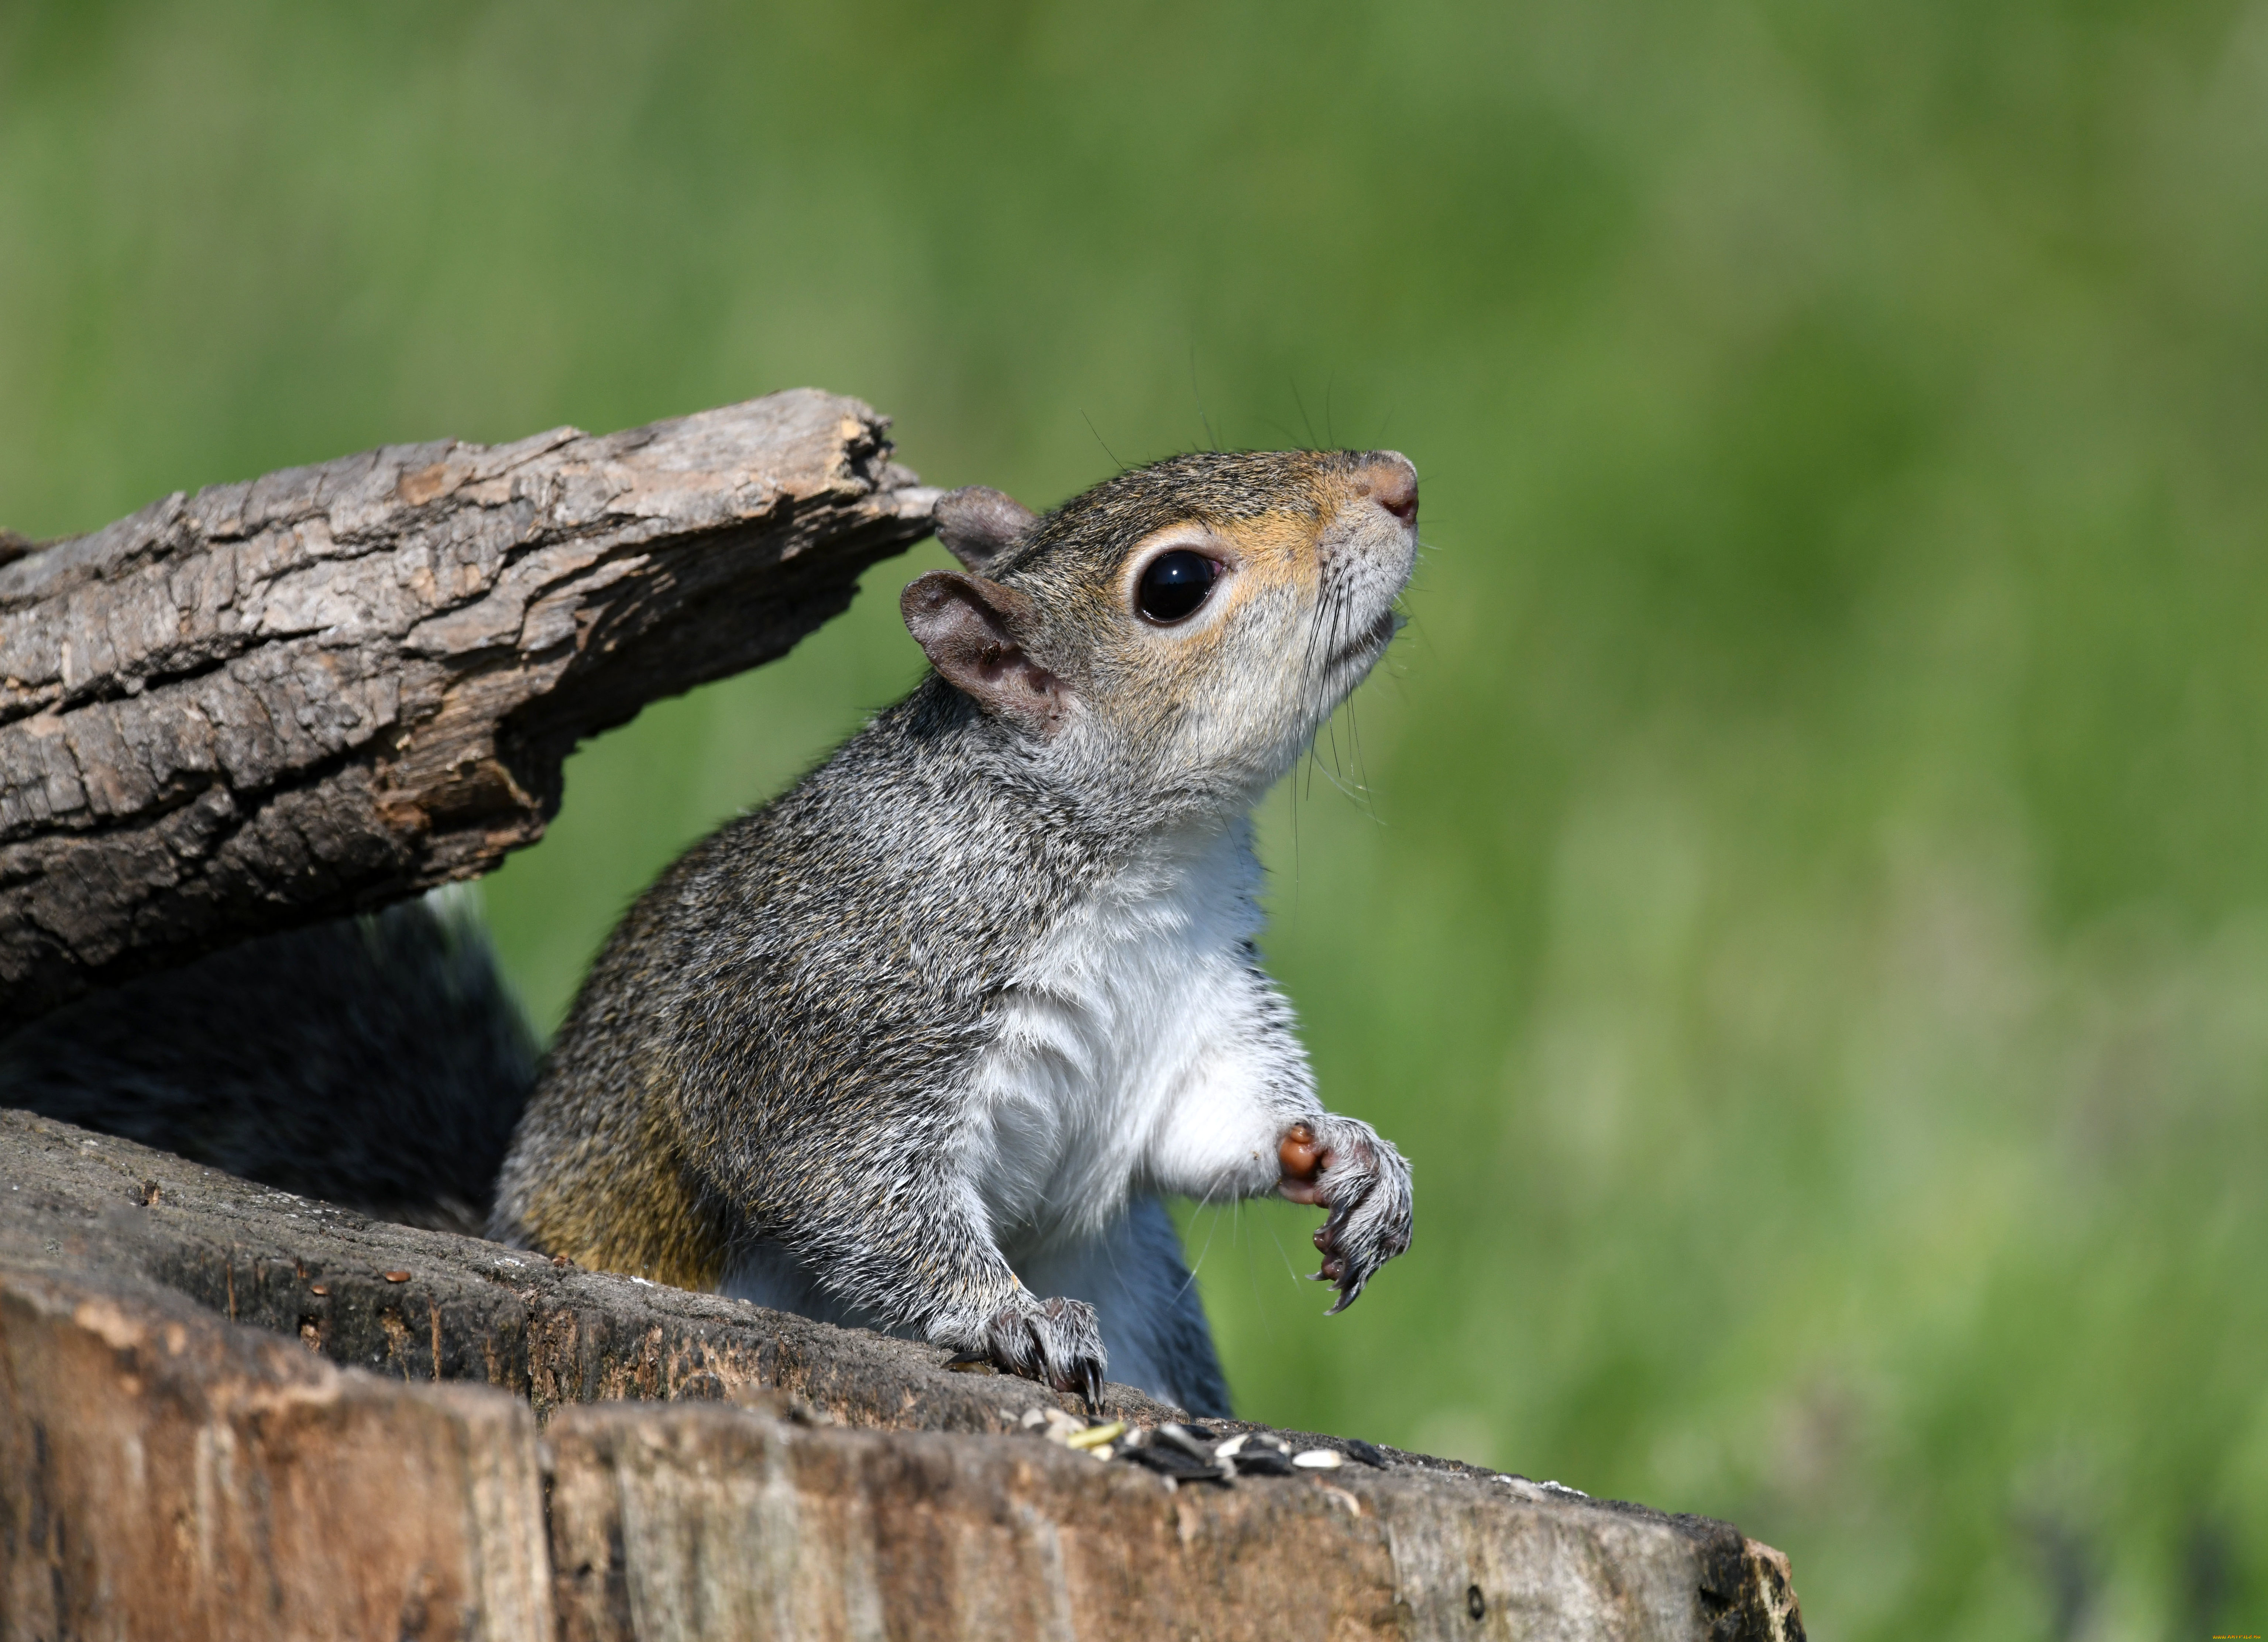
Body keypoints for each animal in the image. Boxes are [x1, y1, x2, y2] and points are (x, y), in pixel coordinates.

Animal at [0, 447, 1415, 1415]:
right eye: (1175, 584)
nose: (1398, 481)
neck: (1133, 860)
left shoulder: (1194, 1015)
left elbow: (1214, 1126)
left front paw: (1351, 1162)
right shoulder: (840, 1013)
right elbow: (848, 1183)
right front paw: (1001, 1315)